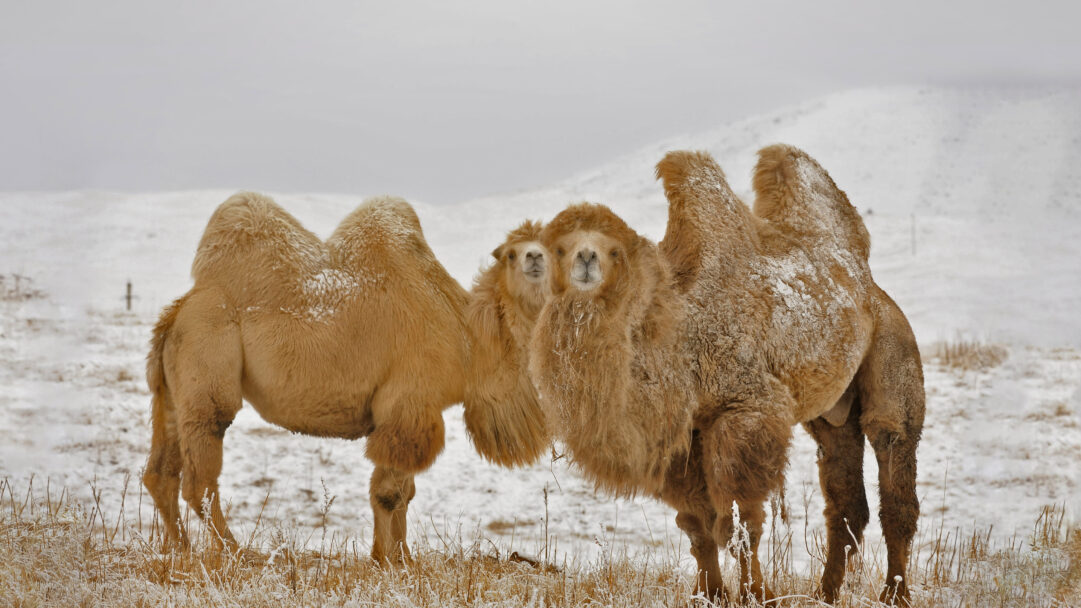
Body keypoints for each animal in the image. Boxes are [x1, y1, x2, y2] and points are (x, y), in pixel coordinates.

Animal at [143, 194, 546, 563]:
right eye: (511, 254)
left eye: (551, 248)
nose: (535, 258)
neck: (467, 339)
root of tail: (177, 311)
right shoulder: (407, 405)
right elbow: (389, 493)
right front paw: (389, 560)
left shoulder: (413, 412)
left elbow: (405, 491)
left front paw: (399, 557)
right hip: (207, 361)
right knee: (200, 478)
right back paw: (237, 553)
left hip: (173, 390)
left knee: (161, 473)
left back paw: (181, 551)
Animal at [530, 146, 924, 605]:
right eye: (559, 249)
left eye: (613, 251)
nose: (586, 260)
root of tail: (871, 287)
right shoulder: (685, 435)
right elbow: (696, 526)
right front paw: (710, 594)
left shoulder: (744, 412)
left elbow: (741, 524)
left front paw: (757, 595)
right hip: (831, 413)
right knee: (845, 497)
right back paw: (825, 593)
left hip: (893, 348)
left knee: (893, 457)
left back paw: (894, 594)